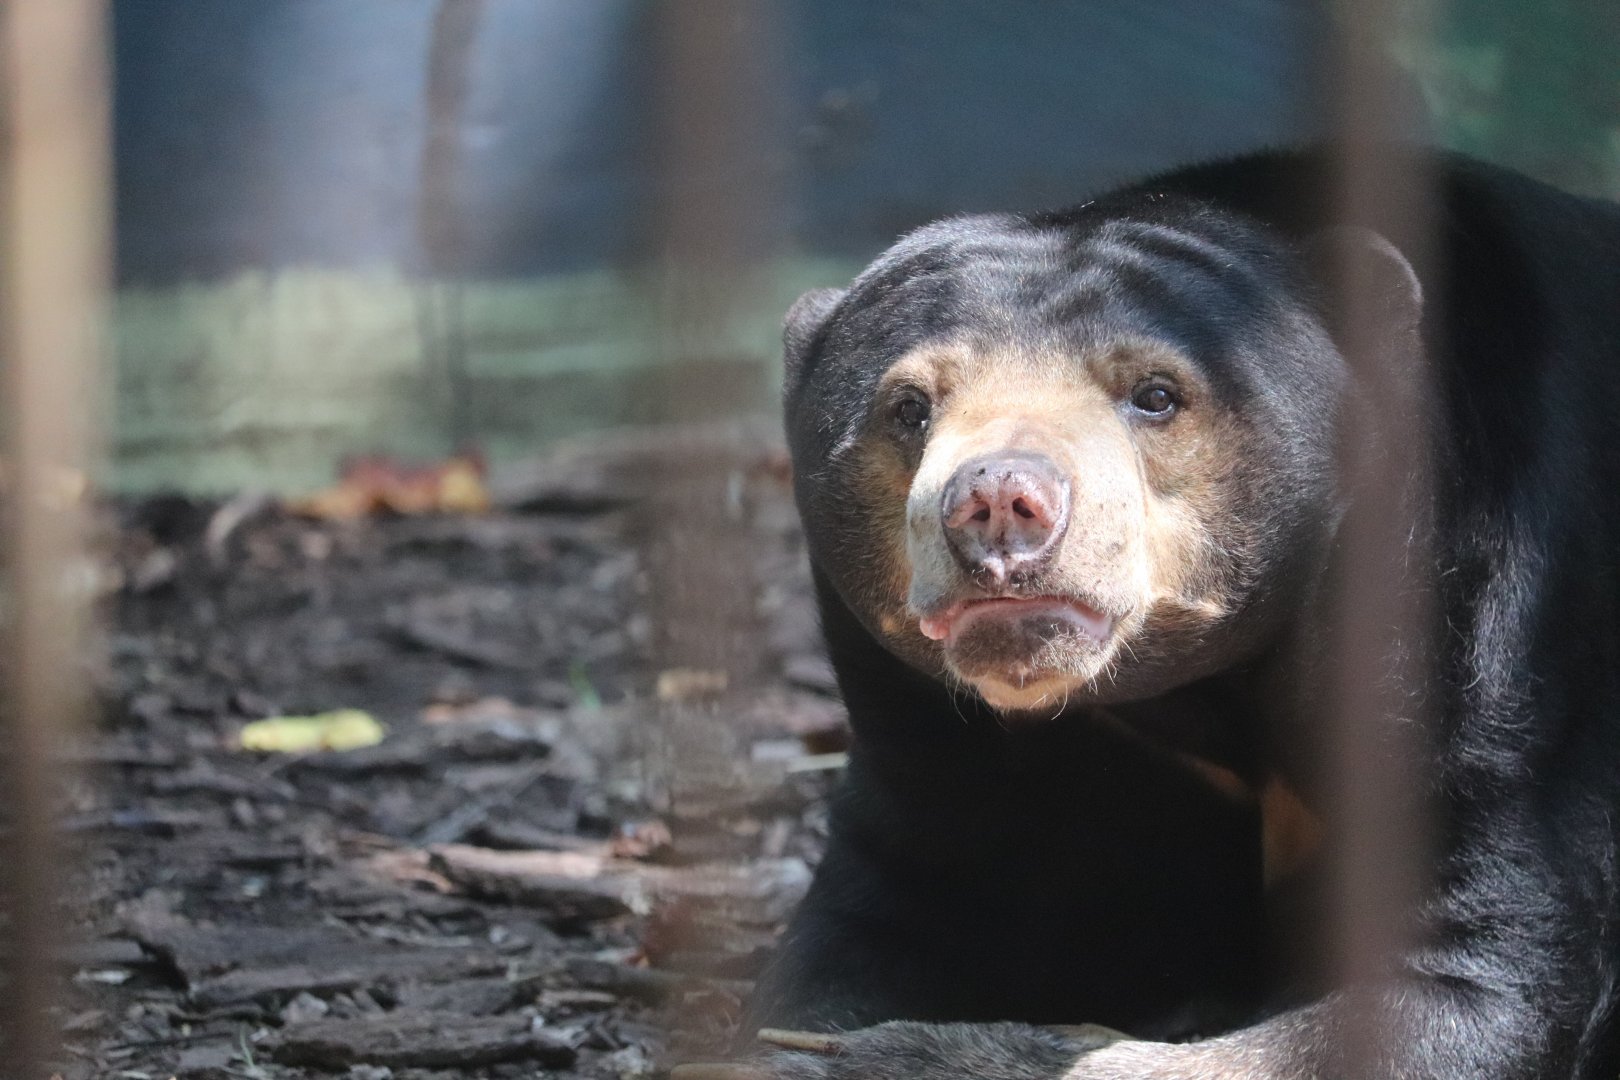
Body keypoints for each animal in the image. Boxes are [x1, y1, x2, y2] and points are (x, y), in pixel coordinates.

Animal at [714, 148, 1620, 1080]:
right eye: (909, 408)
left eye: (1155, 394)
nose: (999, 502)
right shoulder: (913, 720)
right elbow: (892, 905)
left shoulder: (1488, 655)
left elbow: (1467, 975)